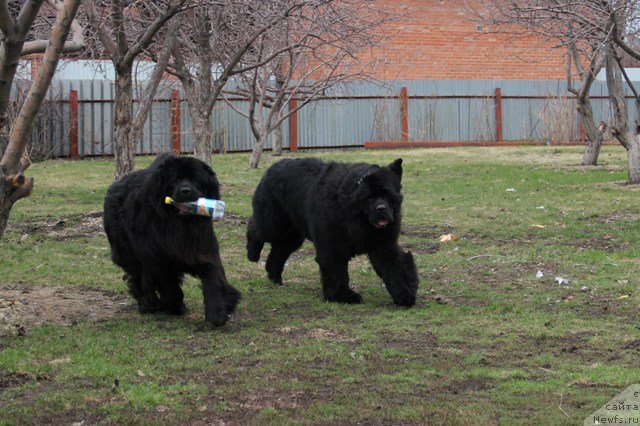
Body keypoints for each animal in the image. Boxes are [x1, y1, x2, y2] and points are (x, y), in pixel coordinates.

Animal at [105, 153, 240, 326]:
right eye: (175, 180)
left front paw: (217, 313)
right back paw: (148, 304)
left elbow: (214, 279)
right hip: (128, 252)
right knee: (138, 276)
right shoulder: (158, 258)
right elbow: (170, 288)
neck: (179, 227)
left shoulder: (204, 250)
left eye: (196, 179)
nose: (186, 191)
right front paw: (174, 306)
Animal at [246, 157, 420, 306]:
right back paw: (252, 254)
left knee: (278, 252)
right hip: (274, 223)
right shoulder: (332, 245)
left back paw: (275, 278)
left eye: (387, 195)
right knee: (255, 228)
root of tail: (272, 167)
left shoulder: (383, 245)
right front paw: (342, 296)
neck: (354, 214)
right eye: (369, 197)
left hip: (292, 235)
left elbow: (393, 269)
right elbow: (338, 272)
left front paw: (404, 295)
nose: (381, 208)